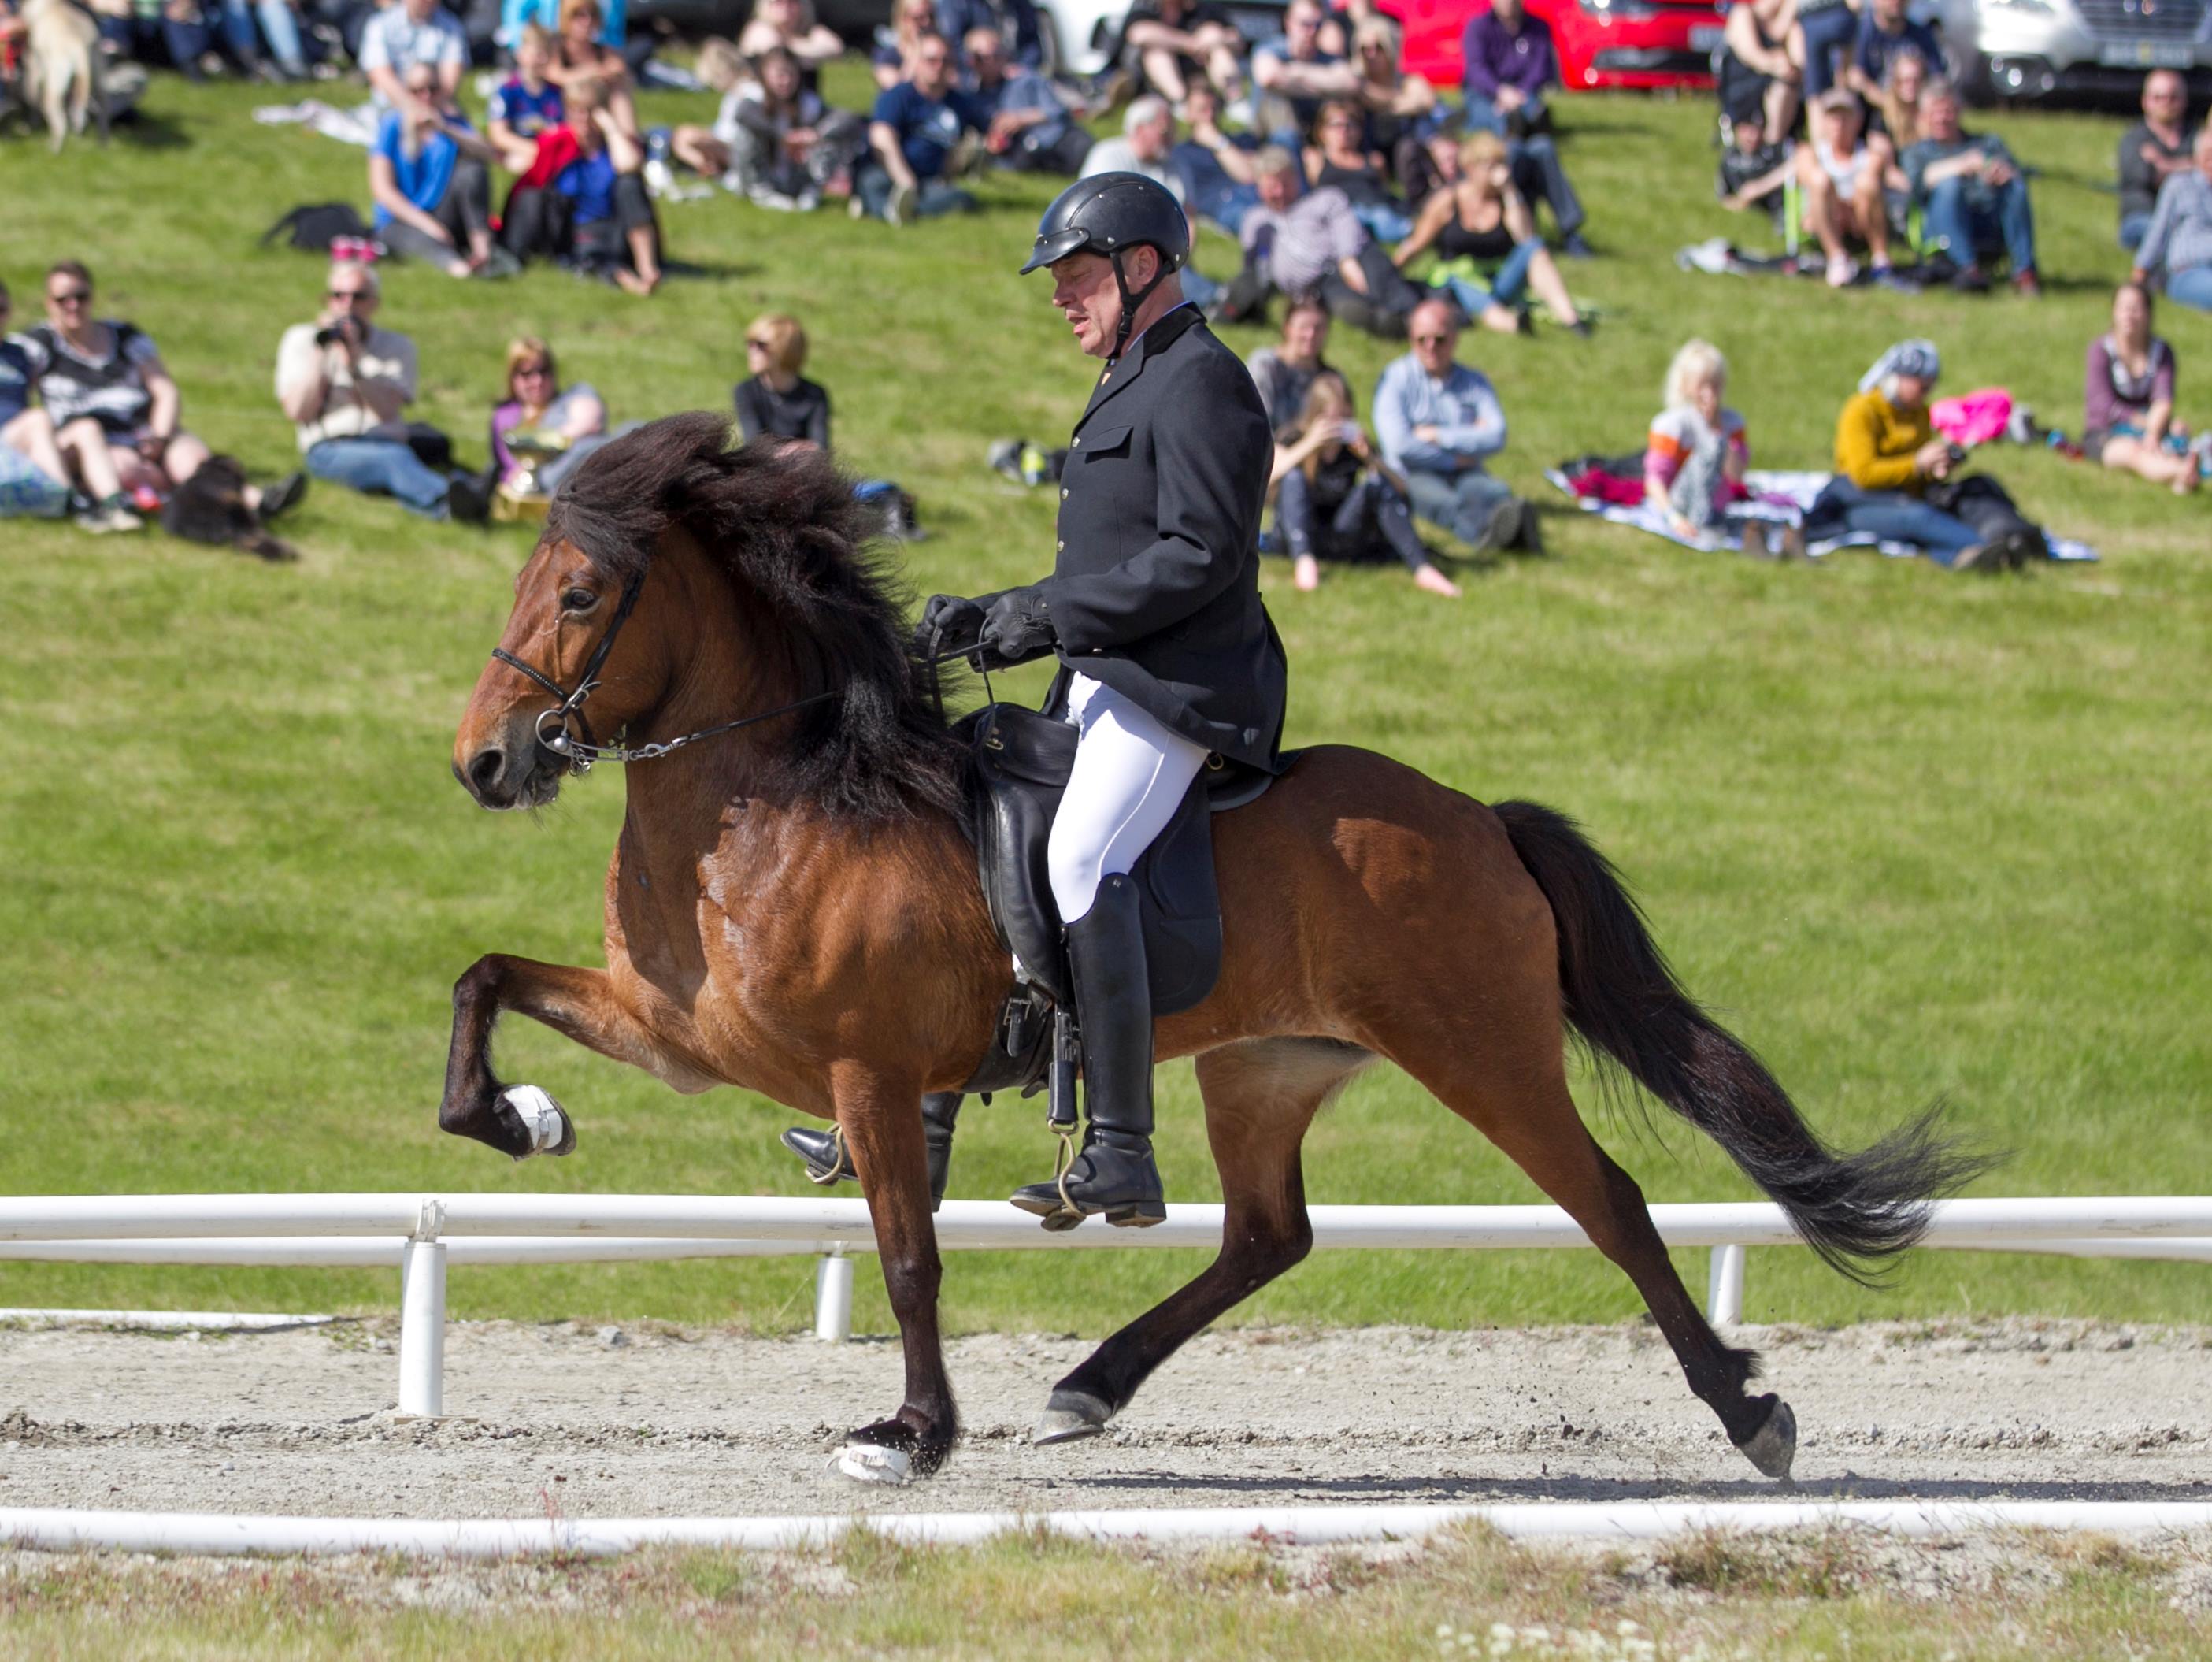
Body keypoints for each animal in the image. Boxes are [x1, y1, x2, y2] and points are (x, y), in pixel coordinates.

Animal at [20, 0, 109, 152]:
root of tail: (80, 44)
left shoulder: (36, 65)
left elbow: (31, 96)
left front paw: (32, 125)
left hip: (54, 86)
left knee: (60, 122)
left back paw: (53, 148)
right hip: (96, 76)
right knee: (101, 106)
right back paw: (101, 141)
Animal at [444, 414, 1991, 1478]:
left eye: (579, 597)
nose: (483, 765)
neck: (780, 794)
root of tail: (1478, 822)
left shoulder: (867, 1074)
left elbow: (907, 1257)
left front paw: (913, 1433)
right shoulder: (681, 1033)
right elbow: (483, 979)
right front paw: (518, 1117)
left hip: (1478, 1050)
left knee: (1605, 1201)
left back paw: (1749, 1412)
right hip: (1265, 1062)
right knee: (1265, 1233)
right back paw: (1088, 1386)